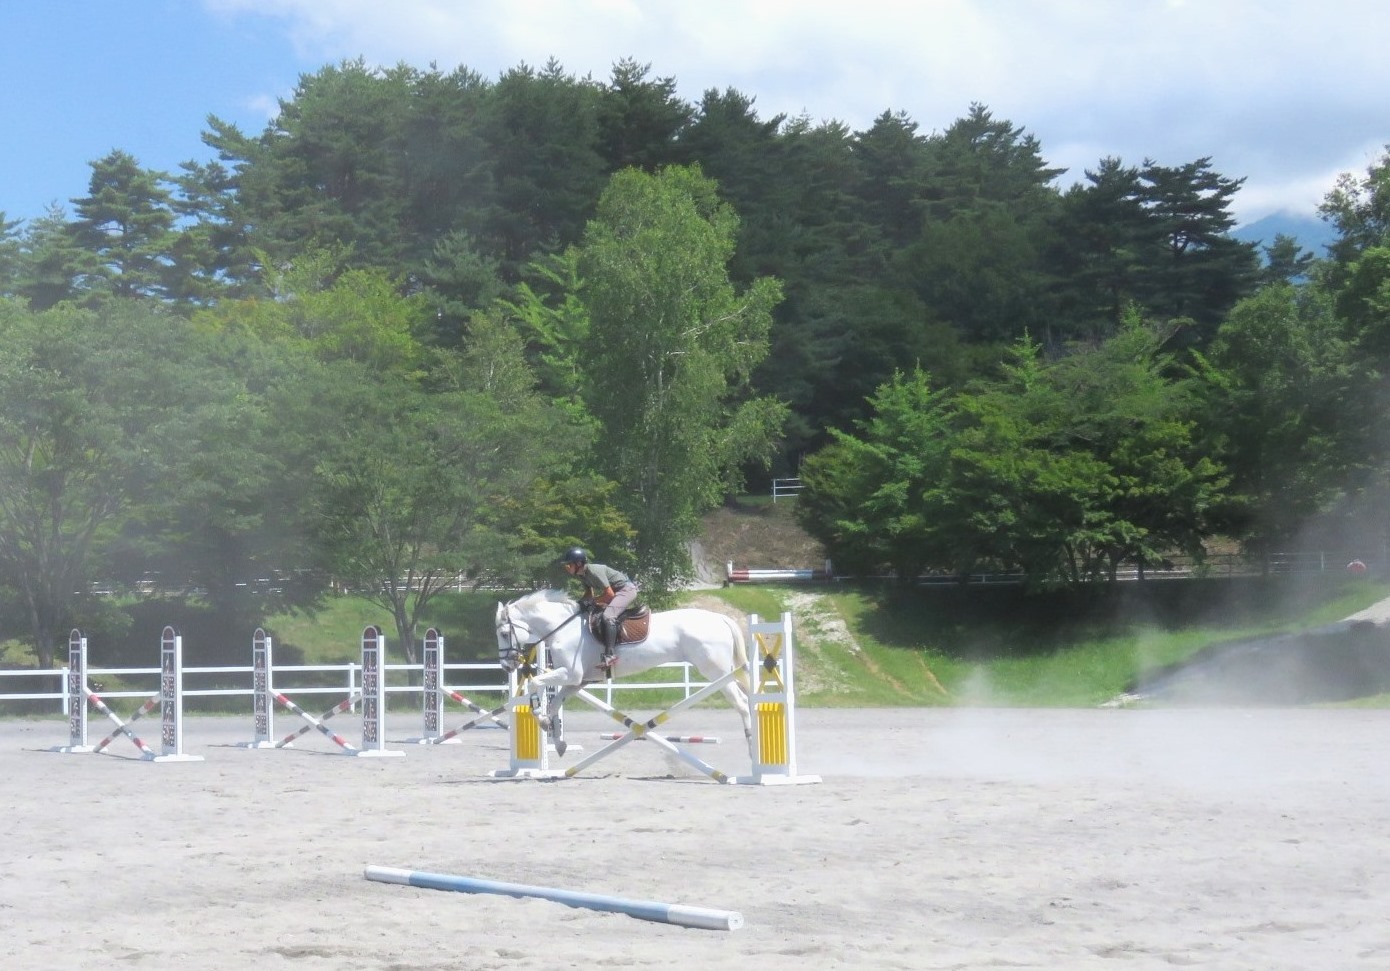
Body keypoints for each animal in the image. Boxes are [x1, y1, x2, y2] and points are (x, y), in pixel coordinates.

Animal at [497, 591, 756, 761]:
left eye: (504, 633)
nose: (507, 665)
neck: (562, 628)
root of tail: (721, 617)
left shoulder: (570, 674)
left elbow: (535, 682)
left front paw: (539, 715)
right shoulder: (578, 681)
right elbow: (555, 703)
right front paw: (556, 740)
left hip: (716, 672)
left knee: (742, 703)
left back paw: (752, 746)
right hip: (723, 673)